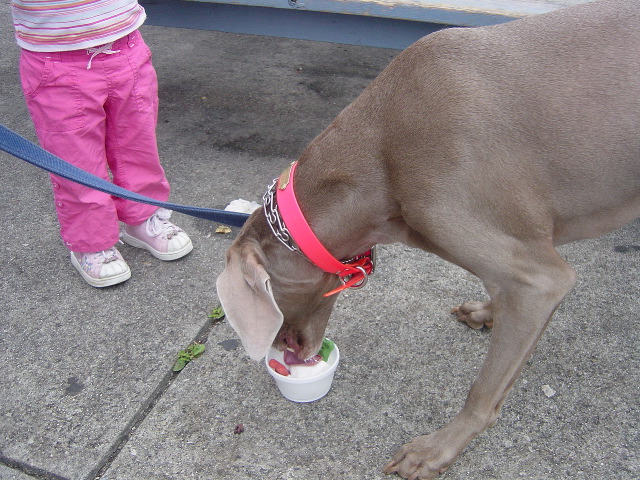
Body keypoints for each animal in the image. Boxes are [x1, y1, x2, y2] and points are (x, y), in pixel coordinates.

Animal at [216, 1, 640, 478]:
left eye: (274, 293)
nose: (284, 350)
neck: (384, 155)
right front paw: (488, 310)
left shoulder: (536, 278)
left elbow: (484, 390)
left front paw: (436, 449)